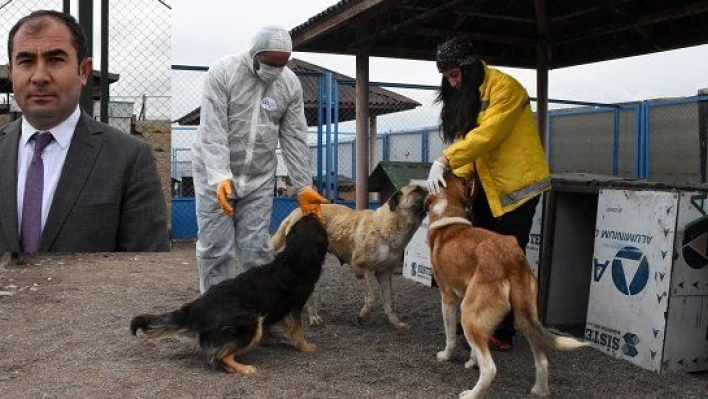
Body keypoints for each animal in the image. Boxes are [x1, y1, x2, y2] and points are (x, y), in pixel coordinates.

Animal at [131, 216, 330, 376]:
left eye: (302, 222)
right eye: (317, 224)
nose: (311, 212)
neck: (293, 259)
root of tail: (195, 308)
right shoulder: (294, 307)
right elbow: (298, 331)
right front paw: (306, 347)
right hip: (250, 321)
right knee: (218, 357)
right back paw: (244, 368)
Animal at [272, 186, 426, 330]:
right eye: (417, 190)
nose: (429, 189)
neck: (385, 225)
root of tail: (294, 213)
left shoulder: (384, 273)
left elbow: (390, 301)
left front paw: (395, 323)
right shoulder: (359, 268)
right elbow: (372, 298)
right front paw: (362, 317)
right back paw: (313, 316)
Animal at [426, 175, 588, 399]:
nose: (455, 172)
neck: (448, 212)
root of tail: (511, 255)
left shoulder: (448, 299)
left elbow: (450, 337)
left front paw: (446, 356)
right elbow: (474, 348)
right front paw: (472, 361)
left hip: (469, 314)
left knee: (490, 369)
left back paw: (471, 394)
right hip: (524, 316)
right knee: (542, 359)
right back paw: (540, 390)